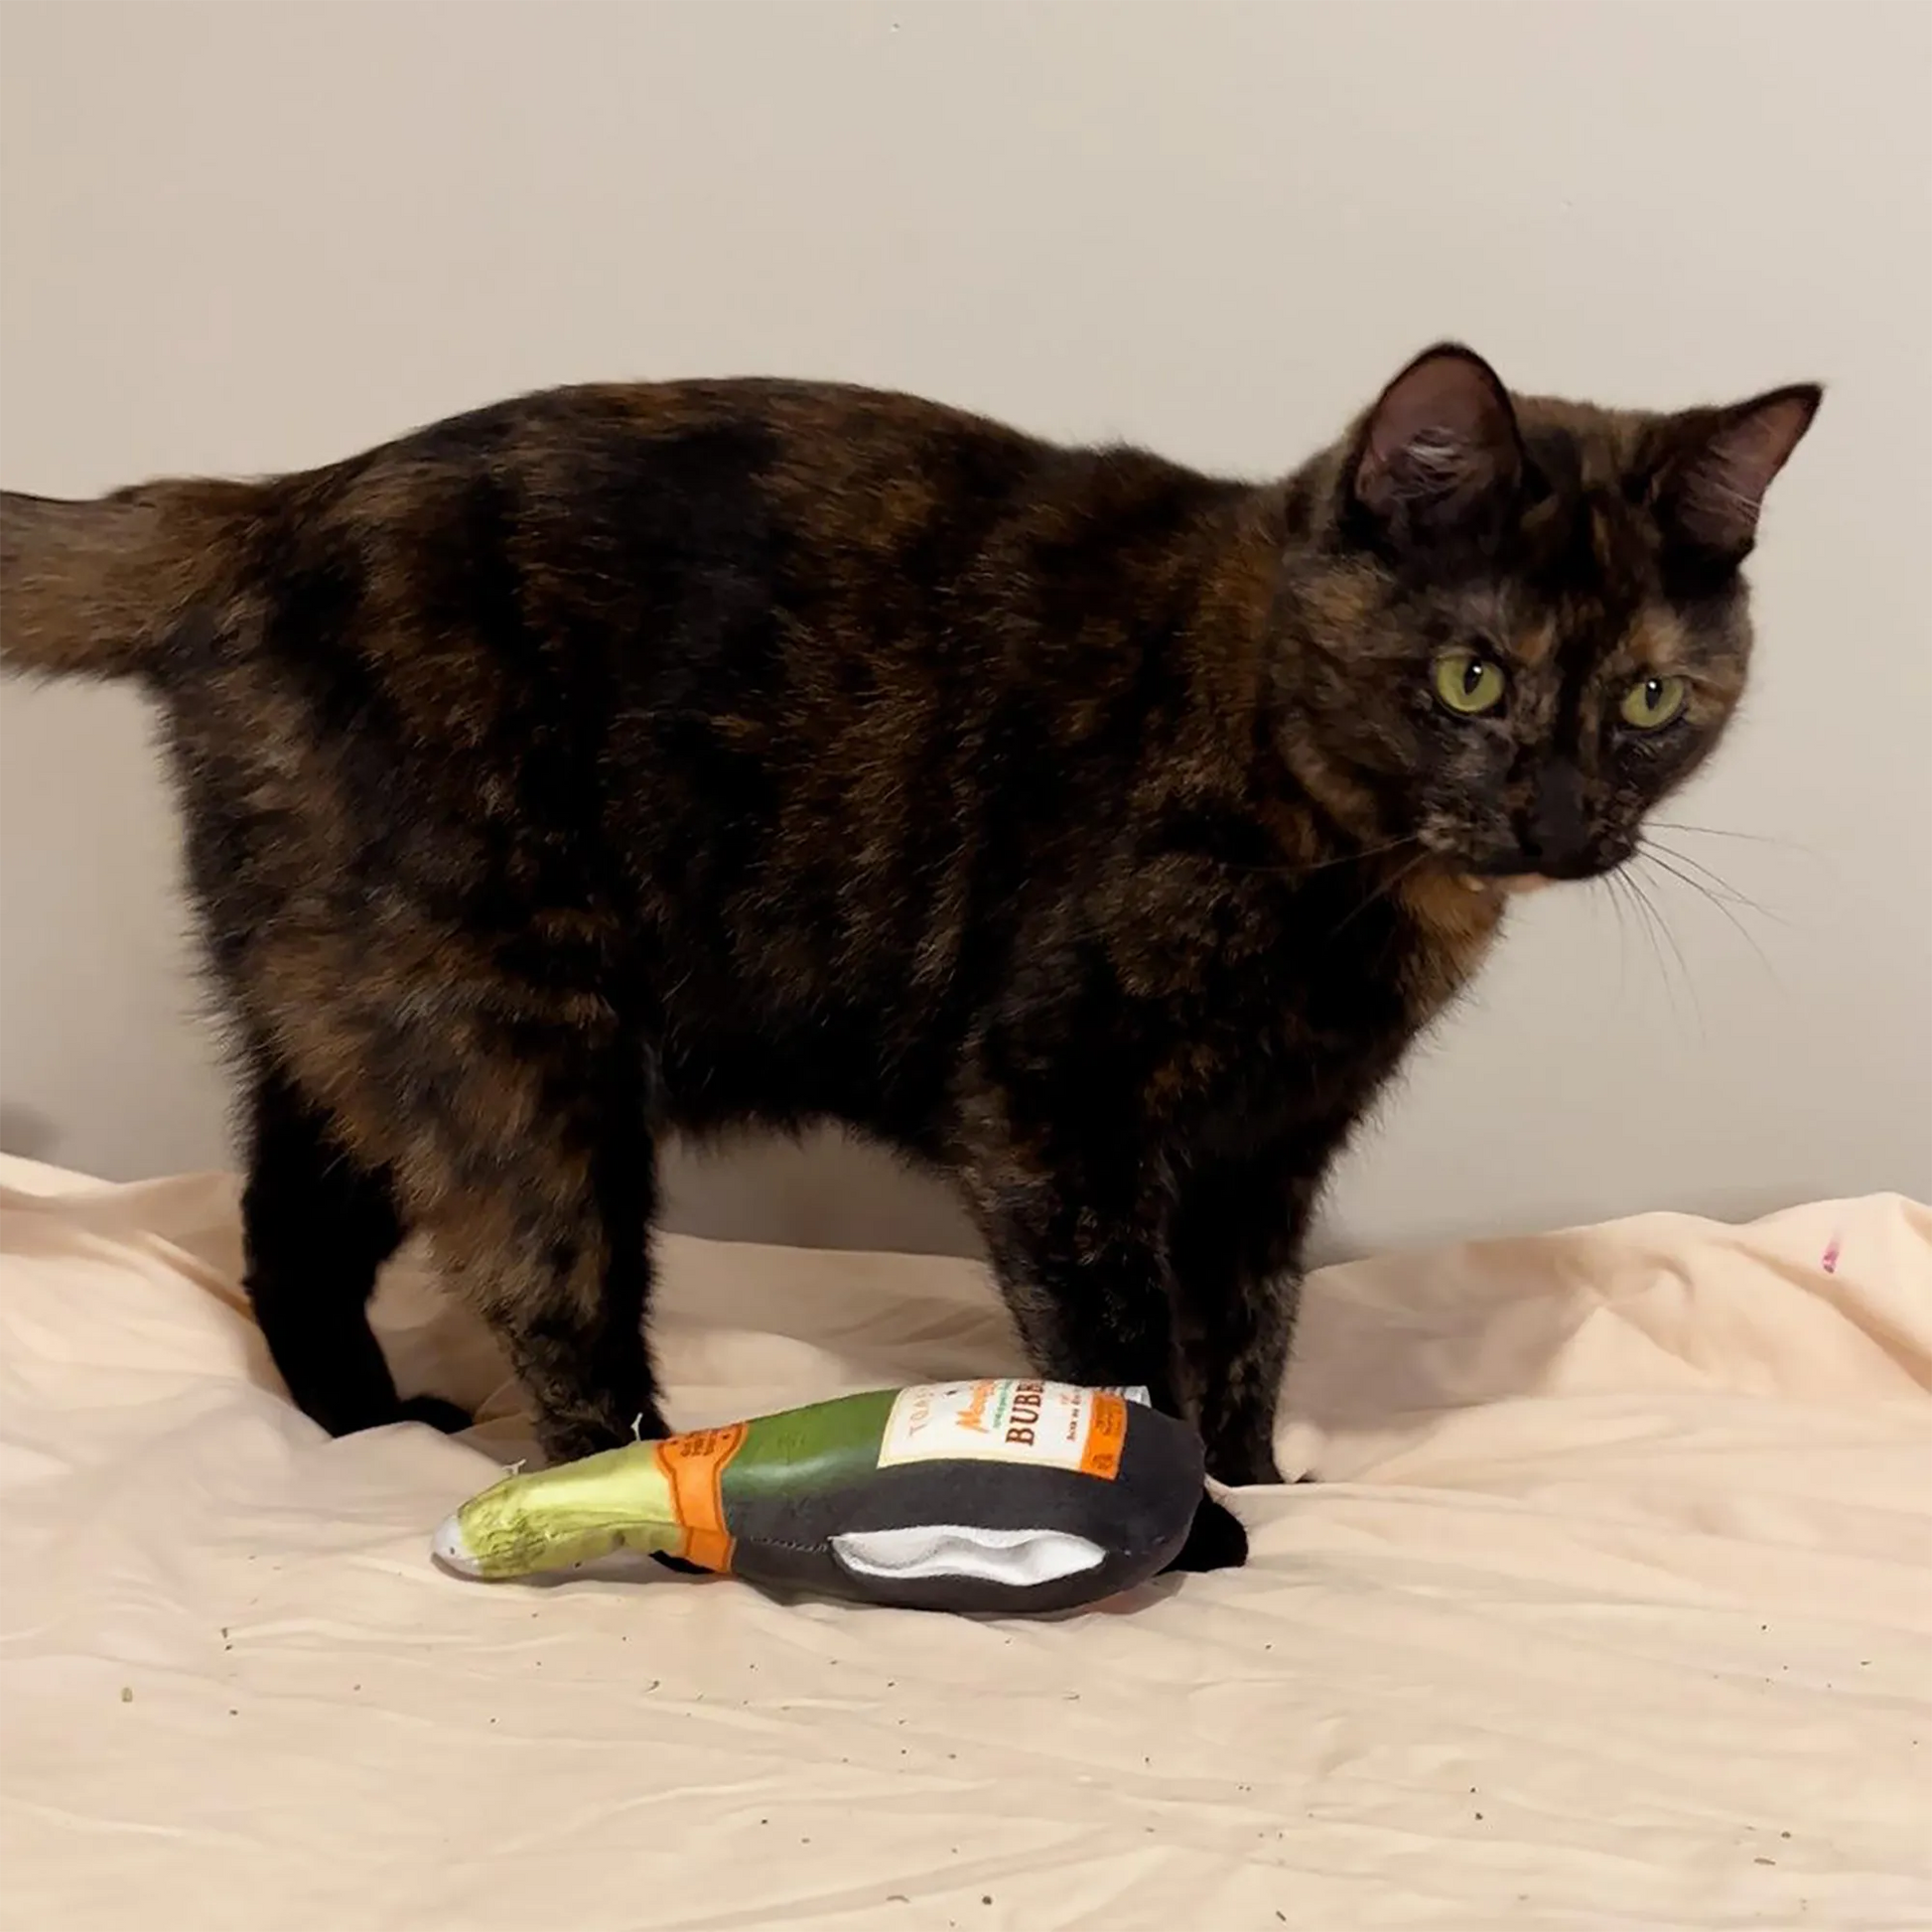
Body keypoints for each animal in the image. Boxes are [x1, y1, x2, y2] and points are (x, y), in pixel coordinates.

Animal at [0, 347, 1808, 1569]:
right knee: (552, 1304)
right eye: (1471, 678)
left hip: (361, 1018)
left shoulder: (1267, 1143)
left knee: (289, 1229)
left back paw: (358, 1425)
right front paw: (1192, 1524)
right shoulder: (1051, 1104)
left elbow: (1248, 1326)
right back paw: (638, 1499)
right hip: (513, 1037)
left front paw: (1258, 1472)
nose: (1558, 816)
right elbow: (1125, 1341)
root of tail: (274, 504)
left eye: (1649, 699)